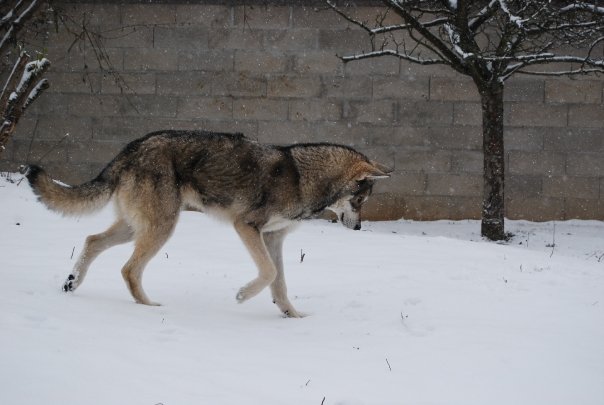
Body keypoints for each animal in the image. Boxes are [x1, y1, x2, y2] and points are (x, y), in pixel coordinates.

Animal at [21, 129, 392, 316]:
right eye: (360, 201)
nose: (359, 228)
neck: (304, 179)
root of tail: (131, 147)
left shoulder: (274, 238)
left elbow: (280, 282)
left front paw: (292, 316)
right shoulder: (246, 226)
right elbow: (268, 273)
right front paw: (243, 295)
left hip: (135, 227)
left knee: (91, 240)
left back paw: (72, 282)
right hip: (161, 227)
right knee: (128, 268)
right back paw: (148, 308)